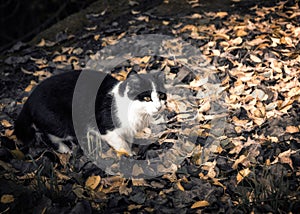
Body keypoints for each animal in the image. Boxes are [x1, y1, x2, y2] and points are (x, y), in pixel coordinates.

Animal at [14, 70, 168, 155]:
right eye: (147, 98)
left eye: (161, 96)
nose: (159, 107)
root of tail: (29, 100)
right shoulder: (106, 128)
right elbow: (121, 143)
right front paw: (129, 155)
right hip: (61, 122)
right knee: (51, 135)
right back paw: (65, 149)